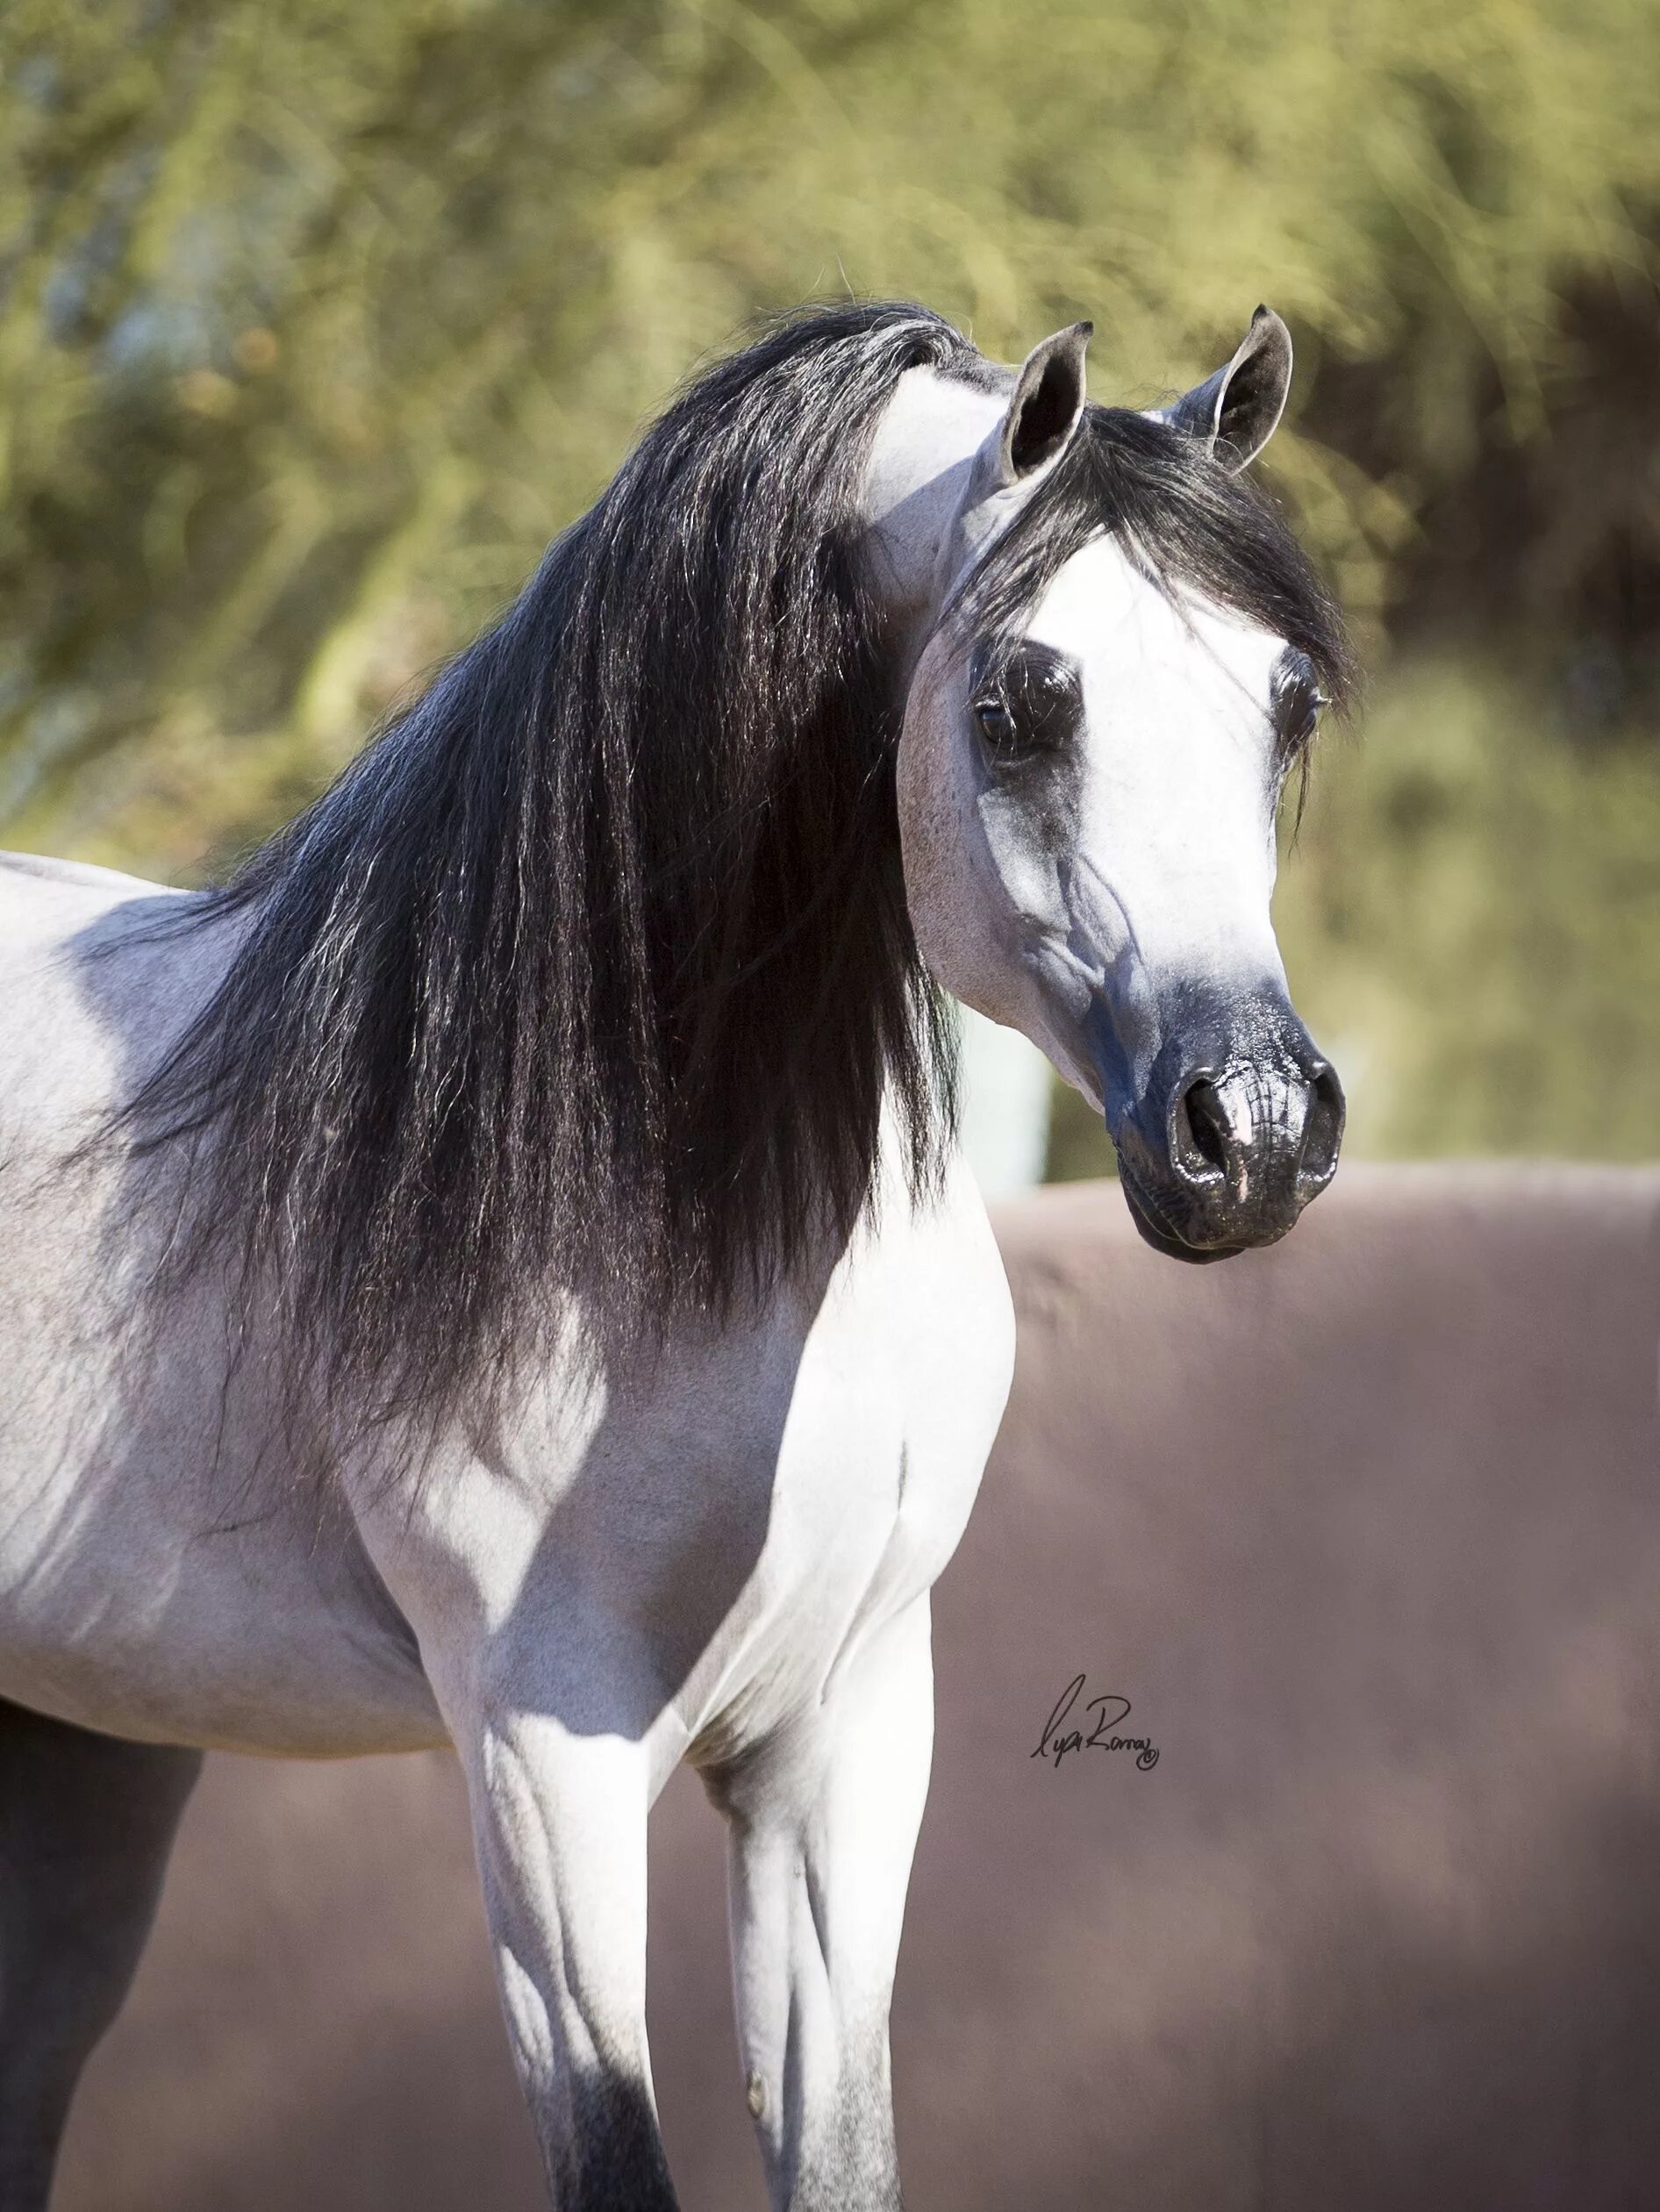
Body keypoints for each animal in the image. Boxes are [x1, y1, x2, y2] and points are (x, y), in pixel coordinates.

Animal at [0, 298, 1354, 2212]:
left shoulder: (835, 1749)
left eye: (1285, 701)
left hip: (81, 1745)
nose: (1253, 1128)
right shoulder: (543, 1768)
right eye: (1020, 700)